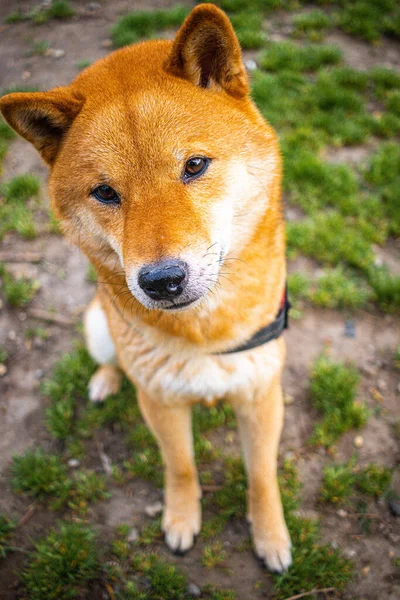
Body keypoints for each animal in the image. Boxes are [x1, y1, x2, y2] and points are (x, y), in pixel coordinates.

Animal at [0, 3, 294, 572]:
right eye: (105, 192)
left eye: (194, 165)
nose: (161, 281)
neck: (206, 336)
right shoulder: (161, 401)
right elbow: (180, 468)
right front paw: (181, 519)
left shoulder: (260, 393)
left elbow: (262, 476)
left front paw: (271, 535)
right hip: (97, 327)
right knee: (113, 361)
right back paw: (105, 380)